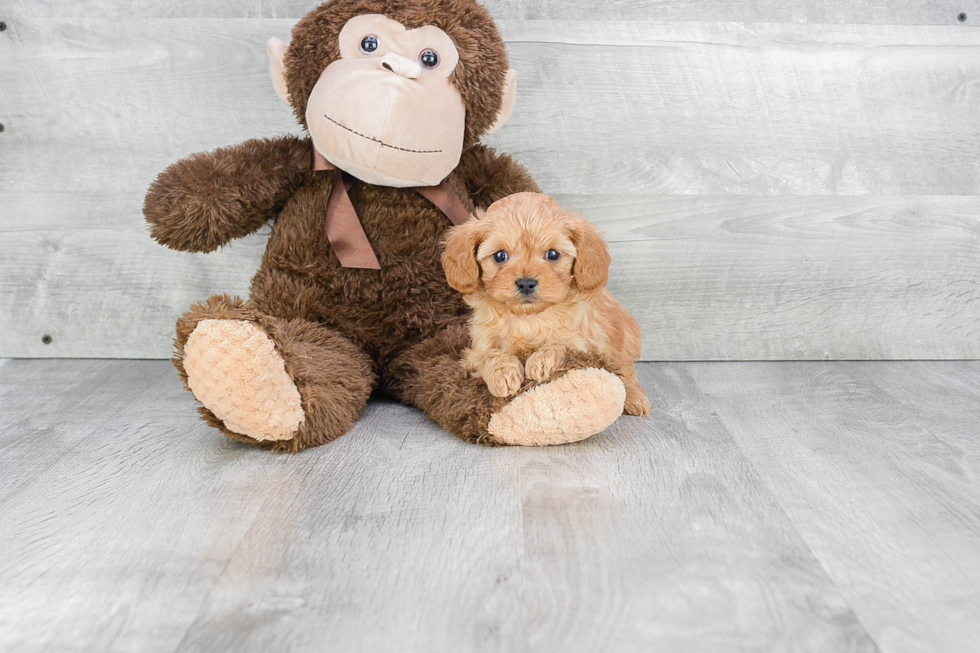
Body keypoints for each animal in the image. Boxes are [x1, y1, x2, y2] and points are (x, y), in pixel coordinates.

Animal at [444, 191, 652, 416]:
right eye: (500, 255)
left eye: (552, 254)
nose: (526, 283)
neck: (527, 317)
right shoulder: (476, 350)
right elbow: (490, 354)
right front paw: (504, 374)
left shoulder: (585, 342)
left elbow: (561, 343)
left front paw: (540, 360)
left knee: (626, 372)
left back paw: (635, 398)